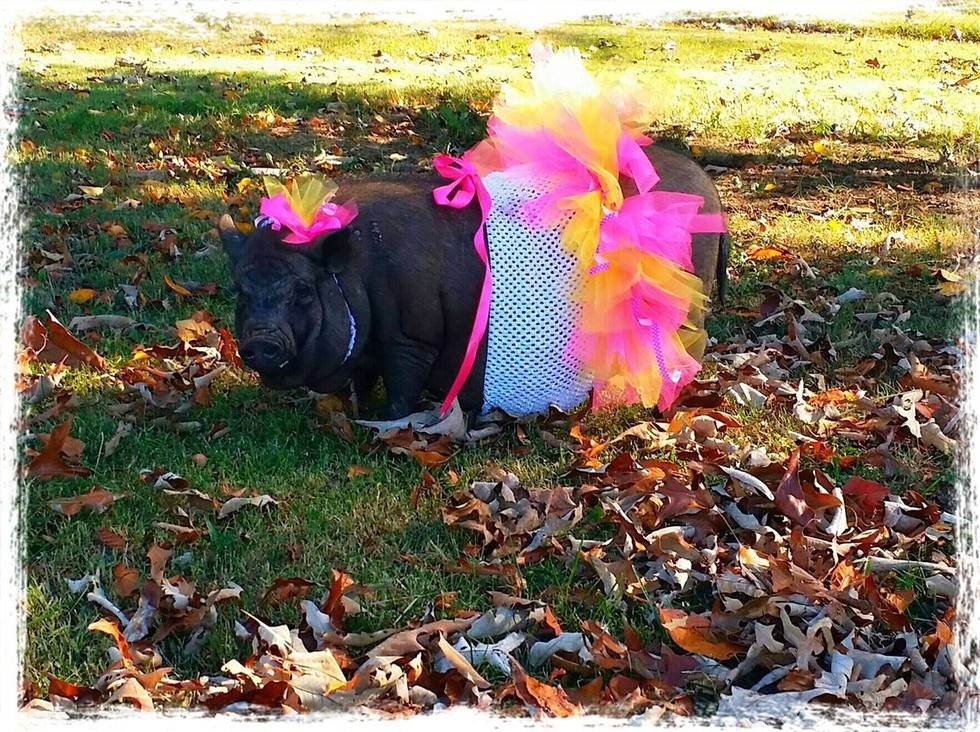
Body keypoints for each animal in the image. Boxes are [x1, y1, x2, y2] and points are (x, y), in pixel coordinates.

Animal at [222, 146, 728, 418]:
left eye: (302, 291)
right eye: (241, 291)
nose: (260, 342)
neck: (358, 273)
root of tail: (710, 190)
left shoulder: (412, 338)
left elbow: (401, 386)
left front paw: (390, 425)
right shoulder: (368, 346)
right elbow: (362, 381)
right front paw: (360, 413)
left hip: (686, 302)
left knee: (692, 343)